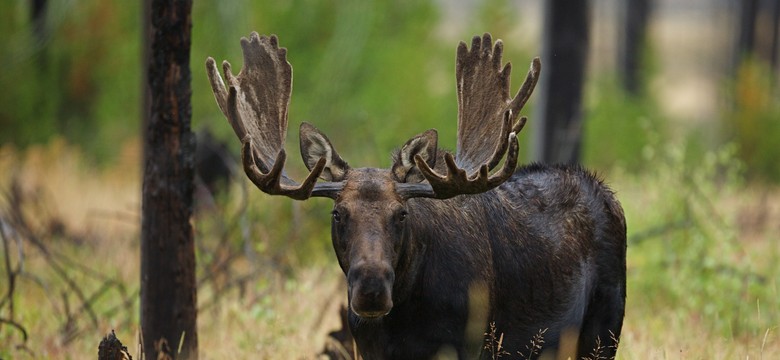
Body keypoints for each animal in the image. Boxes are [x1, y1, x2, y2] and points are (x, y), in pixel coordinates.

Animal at [206, 32, 628, 358]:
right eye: (338, 213)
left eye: (402, 214)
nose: (371, 290)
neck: (405, 319)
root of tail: (607, 192)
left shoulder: (469, 344)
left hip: (604, 329)